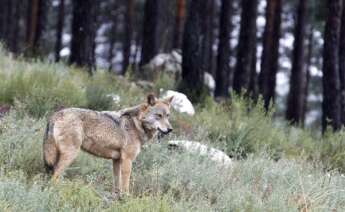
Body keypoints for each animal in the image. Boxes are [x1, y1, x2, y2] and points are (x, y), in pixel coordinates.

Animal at [42, 94, 172, 195]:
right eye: (159, 116)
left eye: (167, 116)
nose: (170, 129)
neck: (136, 124)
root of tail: (56, 114)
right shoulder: (127, 160)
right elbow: (125, 184)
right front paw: (126, 198)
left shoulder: (117, 160)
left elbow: (117, 183)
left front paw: (117, 197)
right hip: (70, 155)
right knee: (55, 175)